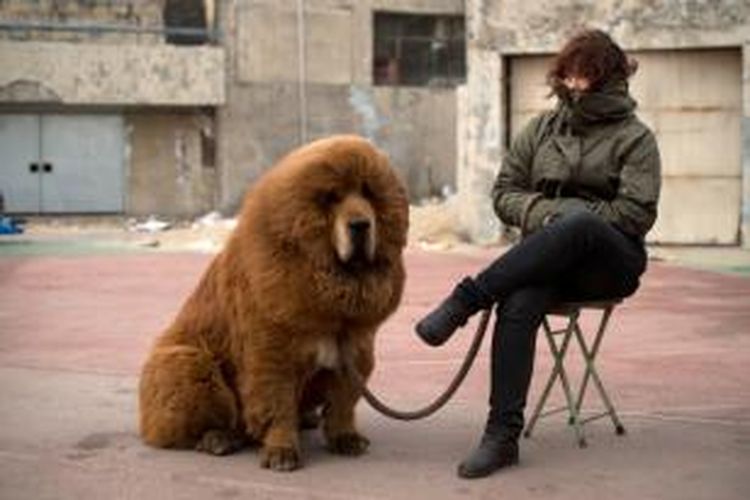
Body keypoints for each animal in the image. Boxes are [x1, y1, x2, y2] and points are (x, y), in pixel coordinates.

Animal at [141, 135, 412, 470]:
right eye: (332, 198)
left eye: (367, 193)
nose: (360, 224)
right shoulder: (272, 352)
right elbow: (276, 403)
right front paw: (281, 451)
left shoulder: (356, 347)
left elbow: (343, 402)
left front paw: (345, 437)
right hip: (185, 362)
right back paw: (219, 439)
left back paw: (304, 420)